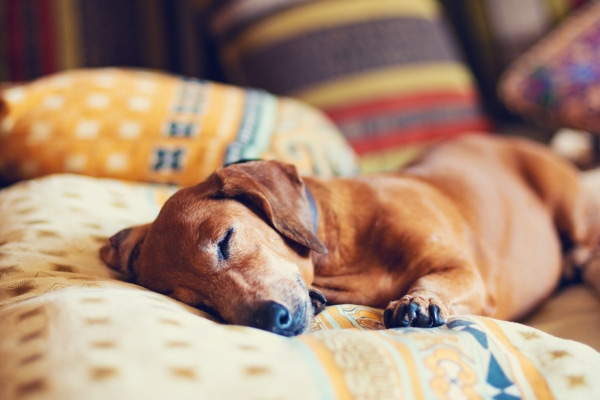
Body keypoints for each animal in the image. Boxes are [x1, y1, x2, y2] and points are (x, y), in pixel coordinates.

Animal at [98, 135, 600, 338]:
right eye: (198, 301)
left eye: (225, 239)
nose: (269, 321)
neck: (340, 251)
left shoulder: (464, 271)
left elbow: (436, 281)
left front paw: (419, 302)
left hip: (572, 211)